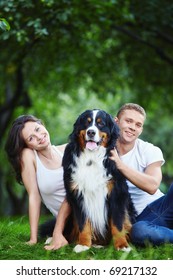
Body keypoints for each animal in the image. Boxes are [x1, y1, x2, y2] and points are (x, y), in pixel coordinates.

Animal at [62, 108, 137, 253]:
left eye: (100, 123)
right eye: (87, 122)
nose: (91, 132)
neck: (91, 159)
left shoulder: (116, 194)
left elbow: (118, 223)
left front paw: (122, 245)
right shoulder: (77, 195)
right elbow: (83, 223)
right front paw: (83, 245)